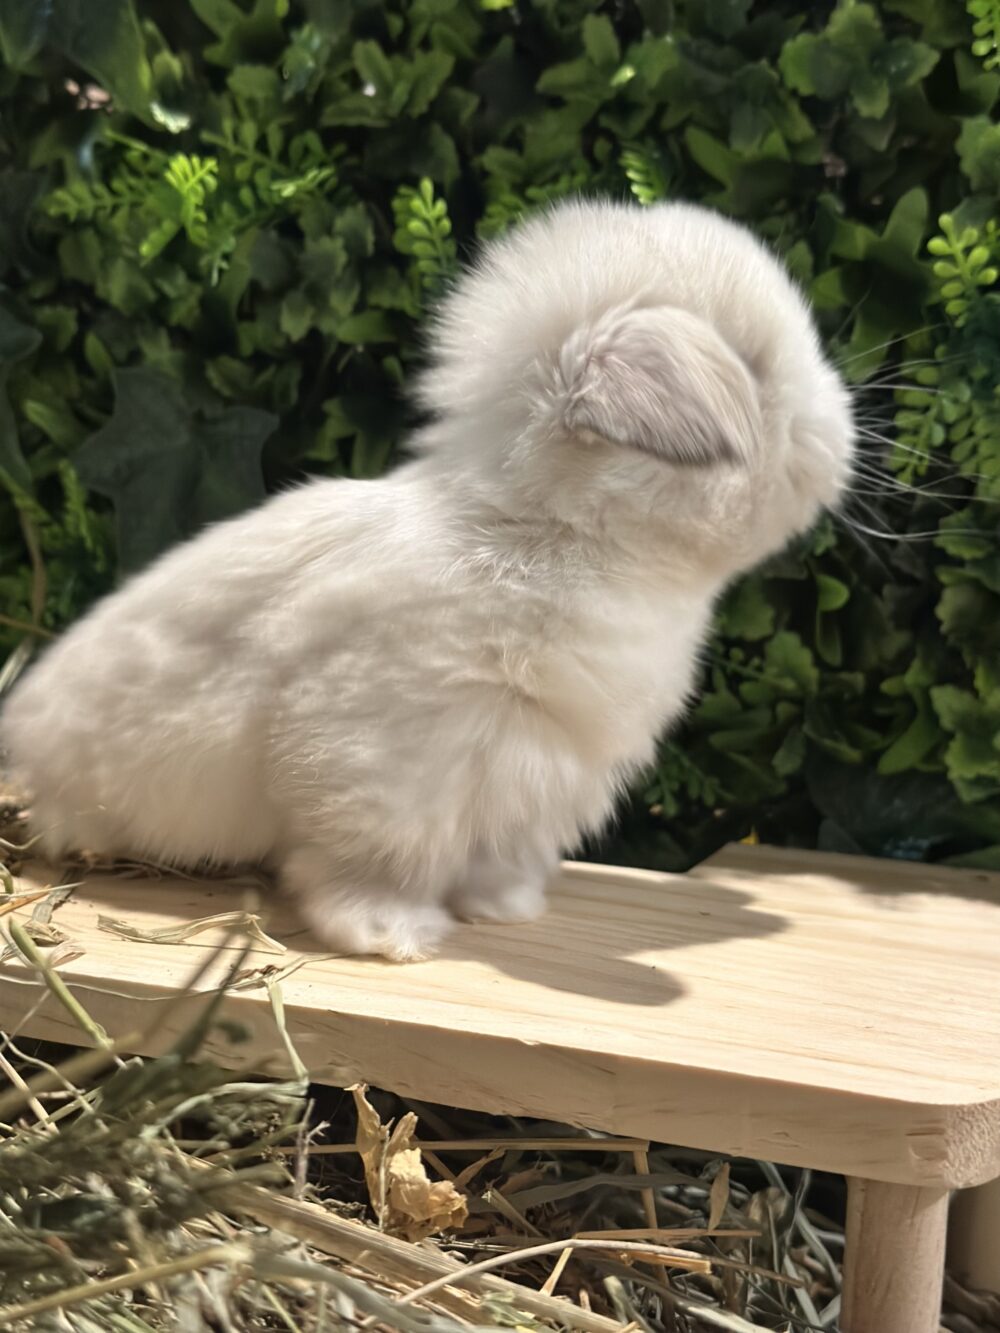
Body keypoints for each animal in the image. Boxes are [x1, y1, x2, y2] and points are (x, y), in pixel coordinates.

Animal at [1, 198, 854, 961]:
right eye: (758, 370)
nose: (843, 429)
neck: (550, 534)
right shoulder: (391, 766)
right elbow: (367, 864)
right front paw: (392, 937)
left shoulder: (534, 783)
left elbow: (493, 860)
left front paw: (508, 909)